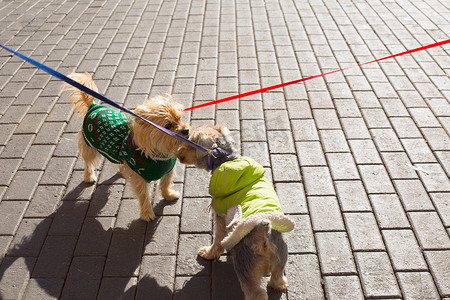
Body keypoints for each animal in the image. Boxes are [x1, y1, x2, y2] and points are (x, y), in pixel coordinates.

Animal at [63, 73, 190, 220]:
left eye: (179, 118)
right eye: (168, 125)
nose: (186, 131)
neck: (160, 153)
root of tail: (93, 106)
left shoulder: (168, 171)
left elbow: (165, 184)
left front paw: (168, 195)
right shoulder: (139, 178)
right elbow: (143, 196)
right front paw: (147, 213)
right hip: (90, 147)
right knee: (88, 162)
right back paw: (89, 177)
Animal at [178, 125, 298, 300]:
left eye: (190, 142)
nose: (178, 152)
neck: (227, 159)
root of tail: (264, 238)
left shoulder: (219, 214)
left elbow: (218, 238)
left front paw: (208, 253)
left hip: (246, 266)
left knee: (256, 293)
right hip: (281, 257)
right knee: (278, 279)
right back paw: (277, 283)